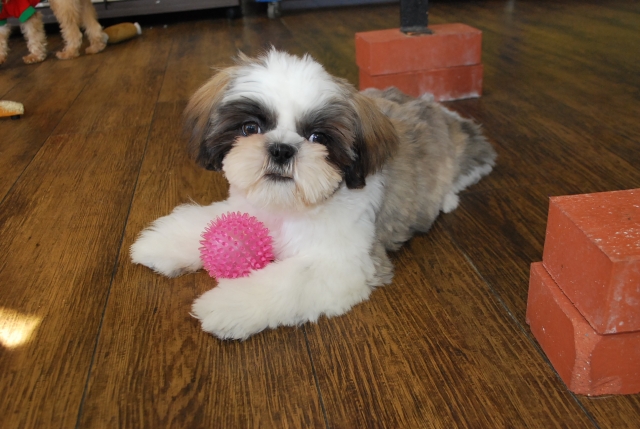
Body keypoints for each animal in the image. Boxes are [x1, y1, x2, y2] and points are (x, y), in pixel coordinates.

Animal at [130, 49, 497, 340]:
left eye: (318, 137)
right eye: (250, 128)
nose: (281, 149)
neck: (287, 209)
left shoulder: (344, 264)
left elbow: (287, 281)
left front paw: (226, 303)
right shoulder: (246, 206)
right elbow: (207, 221)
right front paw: (161, 243)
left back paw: (446, 198)